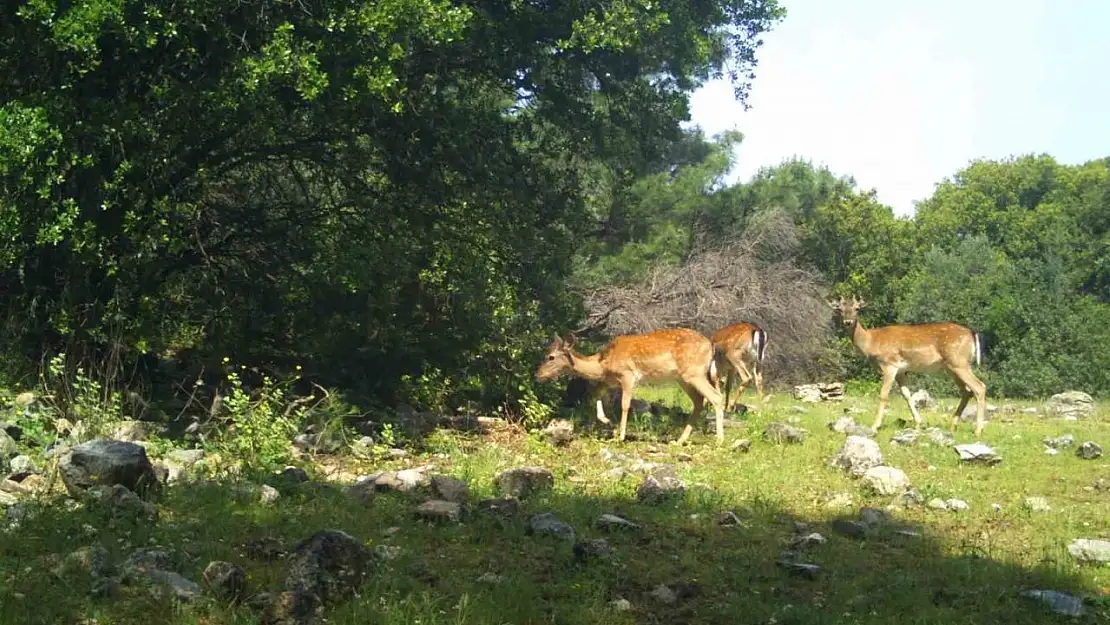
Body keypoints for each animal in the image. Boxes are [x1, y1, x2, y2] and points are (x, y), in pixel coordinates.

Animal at [535, 330, 728, 448]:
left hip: (694, 373)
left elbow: (625, 404)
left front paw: (620, 436)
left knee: (716, 397)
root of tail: (711, 347)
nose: (537, 375)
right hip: (683, 378)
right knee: (699, 401)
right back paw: (679, 440)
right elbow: (596, 395)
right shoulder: (611, 380)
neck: (603, 363)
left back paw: (719, 440)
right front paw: (606, 421)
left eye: (551, 357)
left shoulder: (627, 374)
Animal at [825, 299, 990, 439]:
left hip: (959, 362)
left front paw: (874, 426)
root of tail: (972, 333)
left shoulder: (889, 364)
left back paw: (978, 430)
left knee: (979, 387)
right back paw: (953, 426)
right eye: (840, 309)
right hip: (952, 367)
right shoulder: (901, 371)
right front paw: (919, 423)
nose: (848, 322)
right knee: (966, 391)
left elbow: (883, 395)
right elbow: (907, 394)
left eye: (857, 308)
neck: (871, 342)